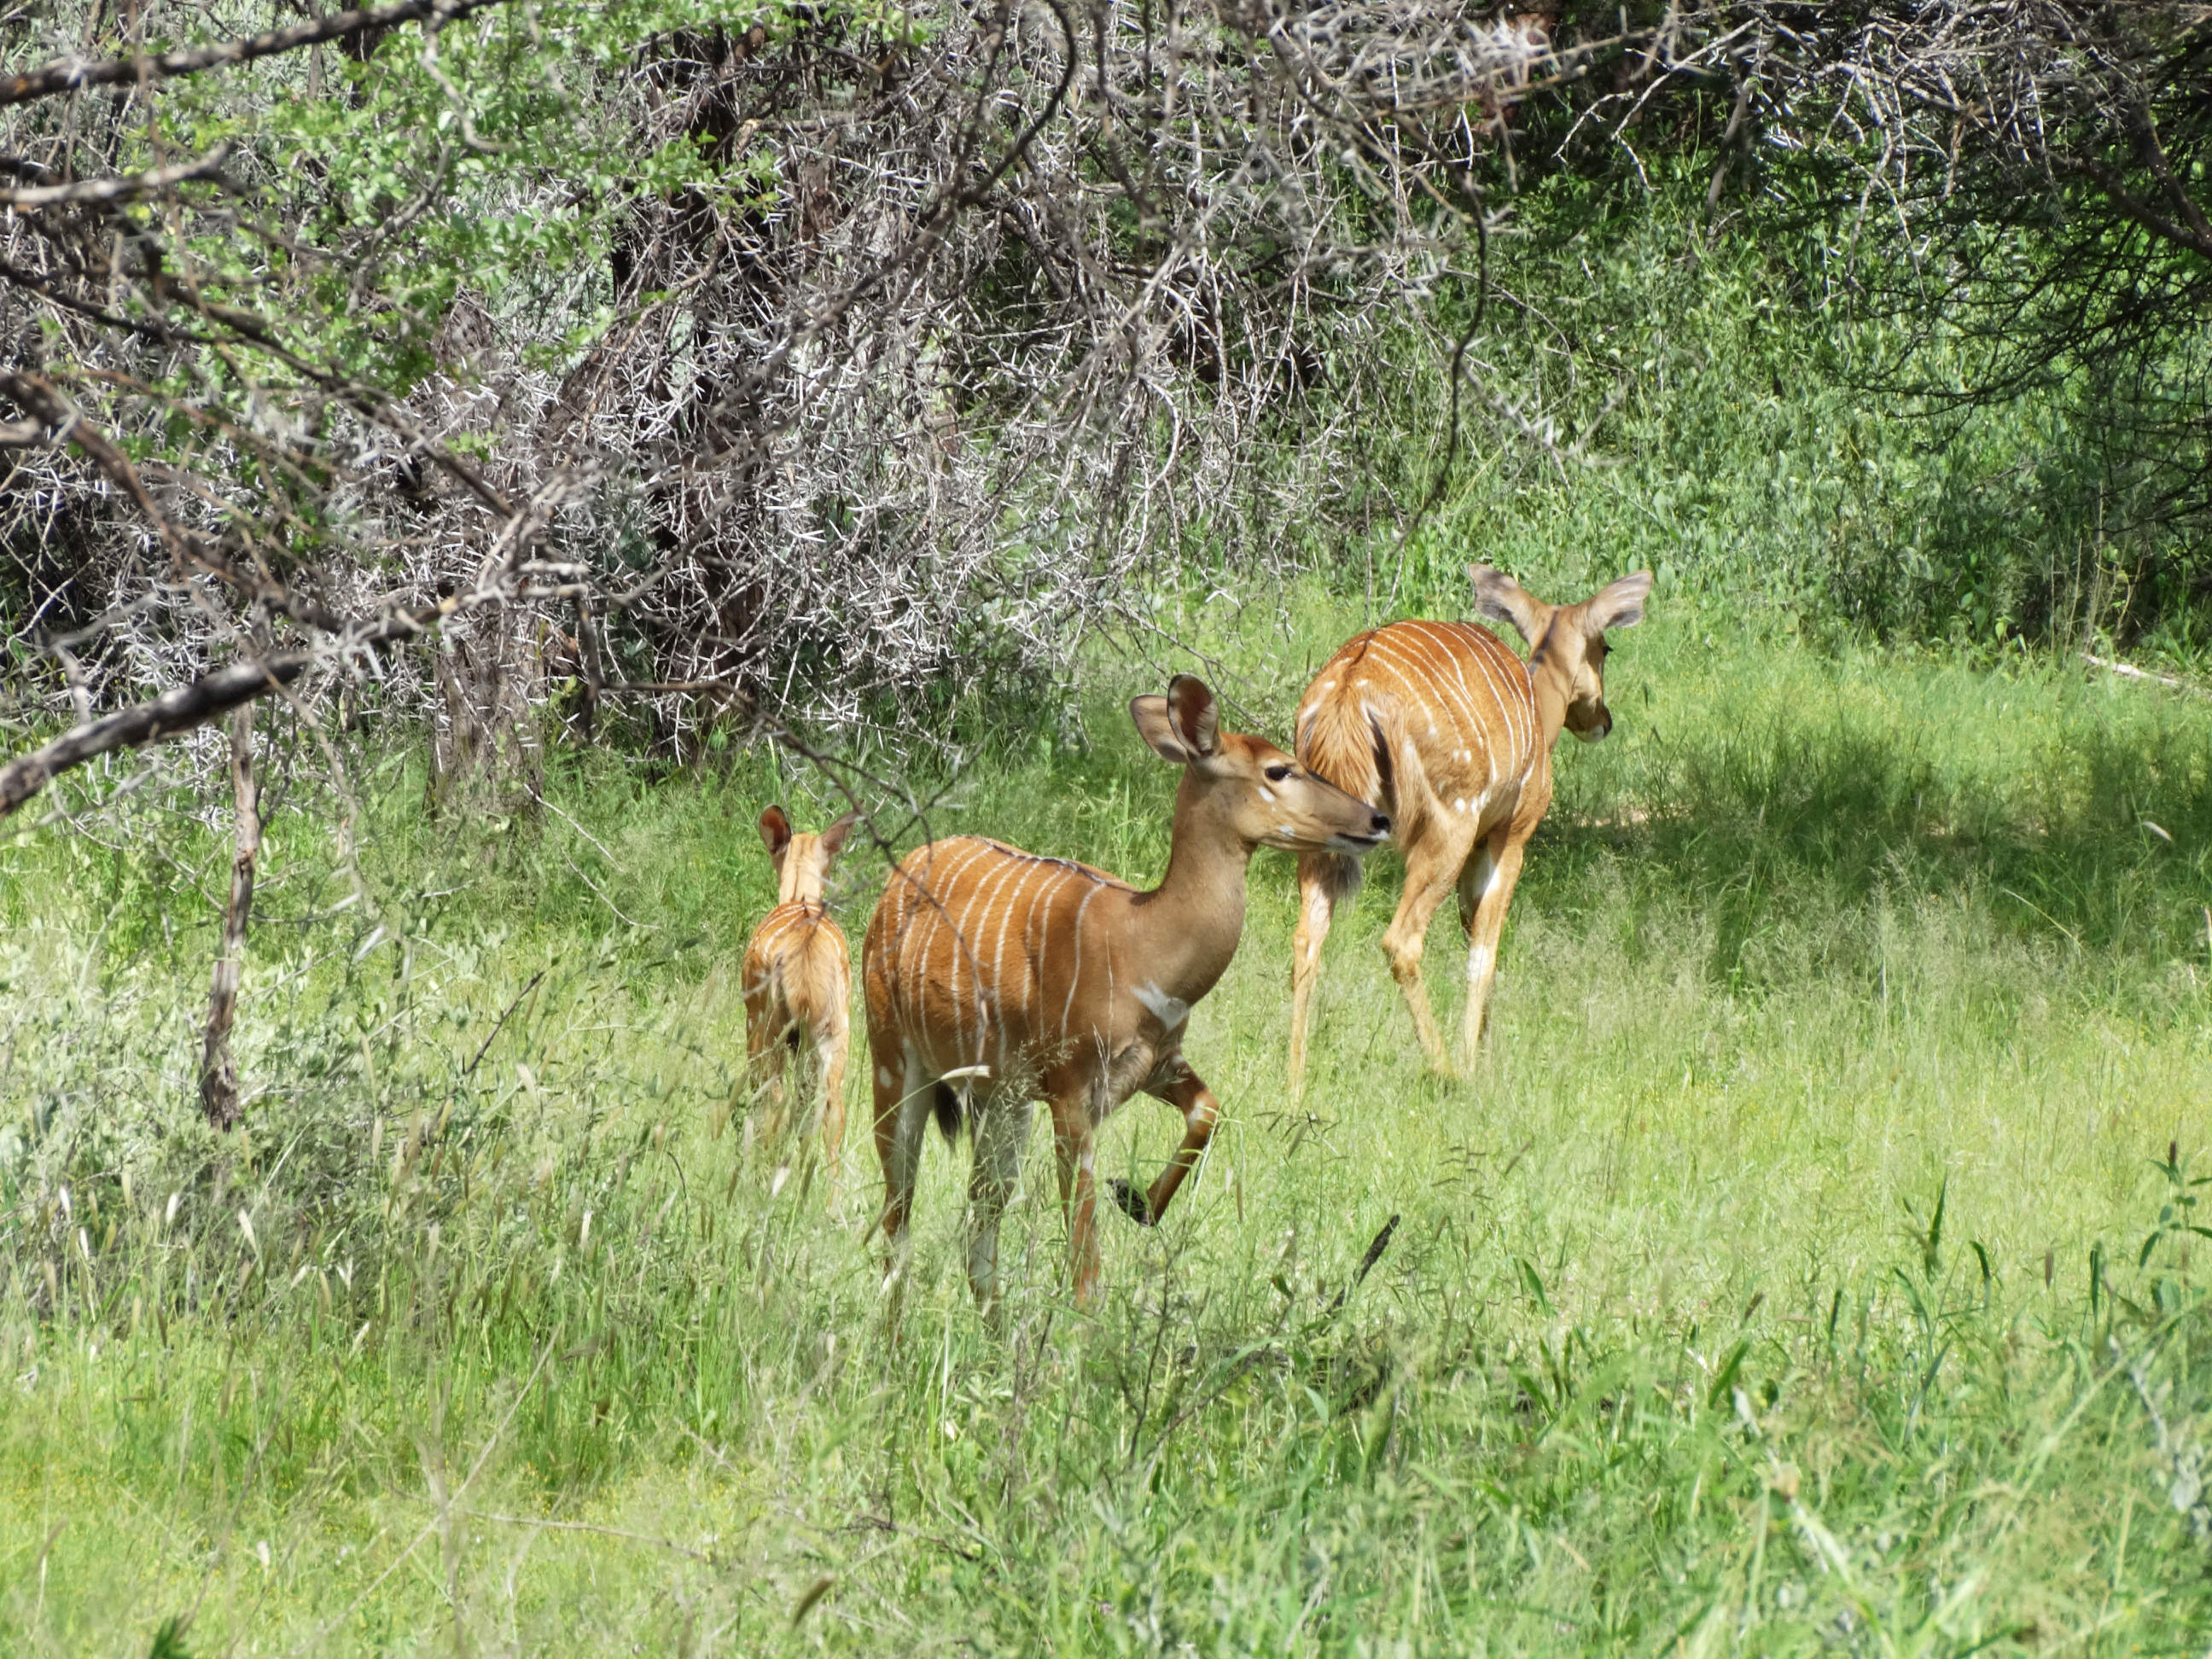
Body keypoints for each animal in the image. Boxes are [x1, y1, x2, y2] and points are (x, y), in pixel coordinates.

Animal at [858, 677, 1380, 1309]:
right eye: (1279, 770)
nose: (1378, 818)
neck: (1143, 943)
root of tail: (896, 880)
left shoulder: (1158, 1062)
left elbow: (1209, 1111)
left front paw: (1137, 1201)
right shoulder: (1071, 1091)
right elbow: (1086, 1261)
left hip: (999, 1101)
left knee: (977, 1235)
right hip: (896, 1066)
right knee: (899, 1229)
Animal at [1291, 570, 1654, 1092]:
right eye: (1605, 647)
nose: (1602, 720)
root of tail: (1347, 695)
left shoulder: (1480, 848)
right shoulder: (1510, 835)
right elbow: (1484, 954)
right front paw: (1474, 1065)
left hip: (1324, 834)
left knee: (1307, 936)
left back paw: (1293, 1086)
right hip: (1448, 828)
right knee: (1401, 941)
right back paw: (1446, 1071)